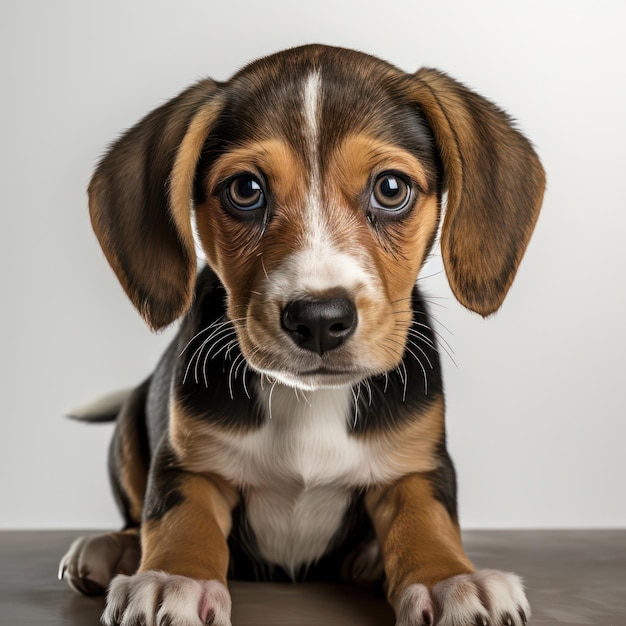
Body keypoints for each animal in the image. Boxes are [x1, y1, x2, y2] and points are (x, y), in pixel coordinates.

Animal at [61, 45, 544, 624]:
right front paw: (173, 578)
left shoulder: (417, 465)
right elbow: (178, 518)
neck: (310, 399)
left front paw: (451, 580)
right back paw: (112, 549)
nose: (318, 319)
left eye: (391, 188)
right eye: (245, 190)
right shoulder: (186, 462)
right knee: (135, 515)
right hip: (132, 425)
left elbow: (427, 519)